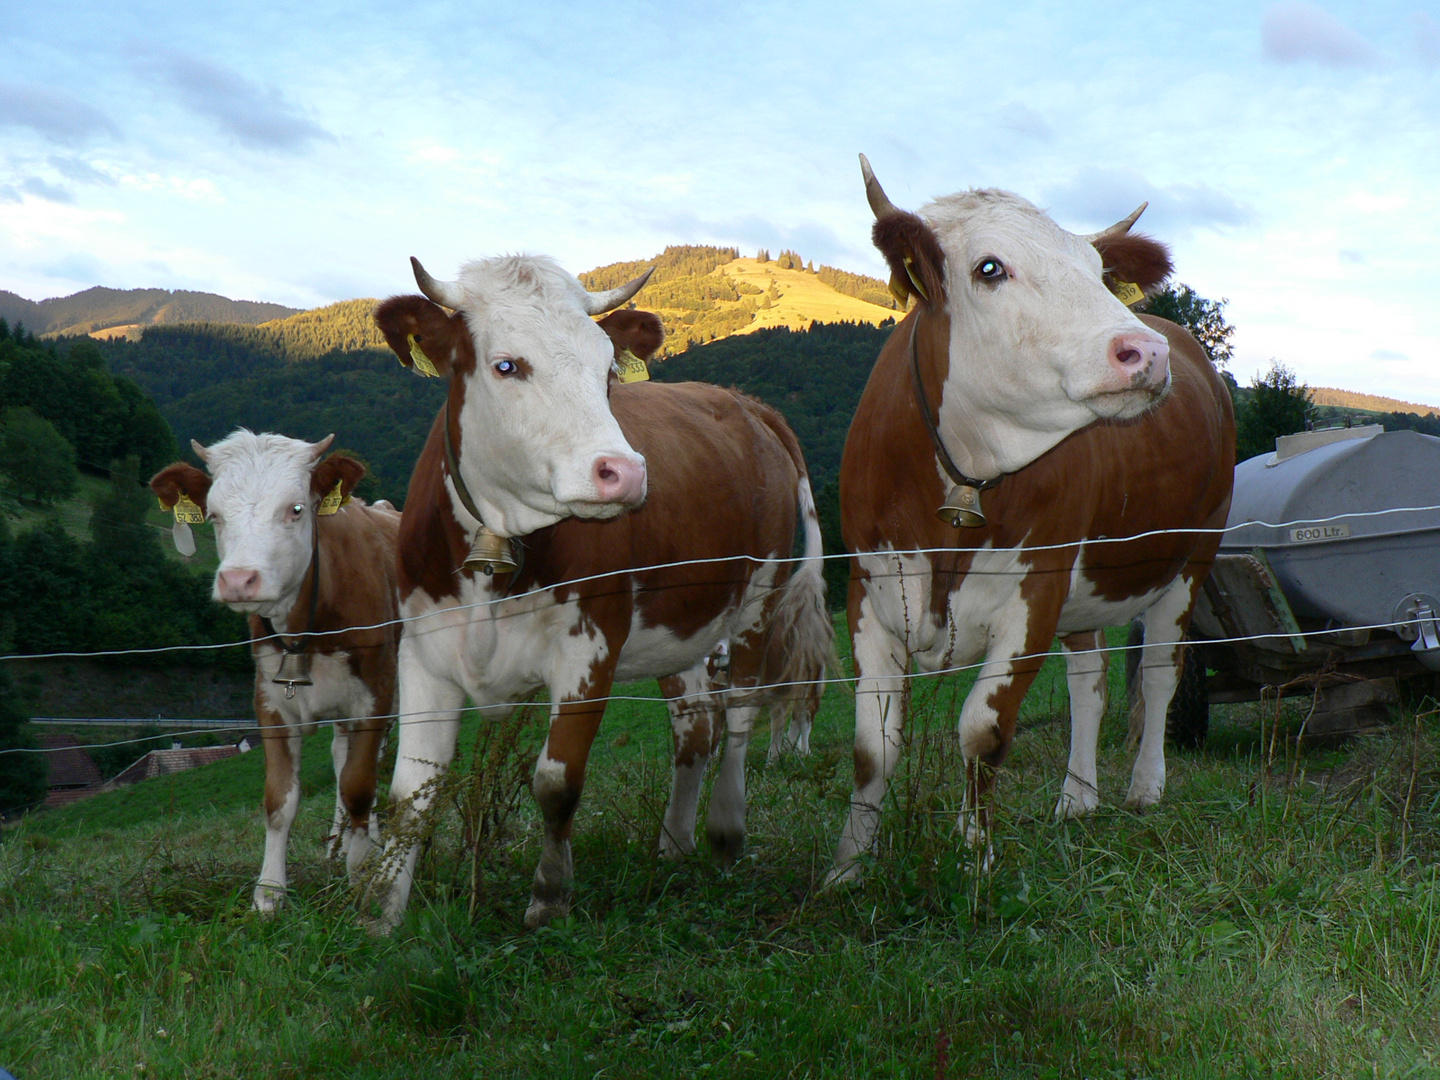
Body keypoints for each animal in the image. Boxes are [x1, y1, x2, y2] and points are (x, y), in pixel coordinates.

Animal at [368, 257, 835, 933]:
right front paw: (380, 913)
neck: (498, 552)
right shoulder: (425, 650)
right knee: (696, 725)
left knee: (742, 713)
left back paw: (725, 833)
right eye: (506, 365)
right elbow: (410, 795)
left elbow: (556, 782)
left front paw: (549, 894)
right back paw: (674, 843)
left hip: (757, 599)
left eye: (607, 369)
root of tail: (744, 403)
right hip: (681, 625)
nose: (625, 472)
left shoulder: (589, 649)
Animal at [829, 162, 1232, 887]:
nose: (1146, 351)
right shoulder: (869, 591)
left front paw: (975, 857)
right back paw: (1077, 797)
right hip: (1090, 590)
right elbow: (874, 746)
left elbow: (981, 732)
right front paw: (846, 869)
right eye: (989, 268)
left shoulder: (1035, 592)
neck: (961, 489)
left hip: (1192, 558)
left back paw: (1144, 789)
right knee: (1090, 683)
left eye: (1097, 271)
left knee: (1161, 672)